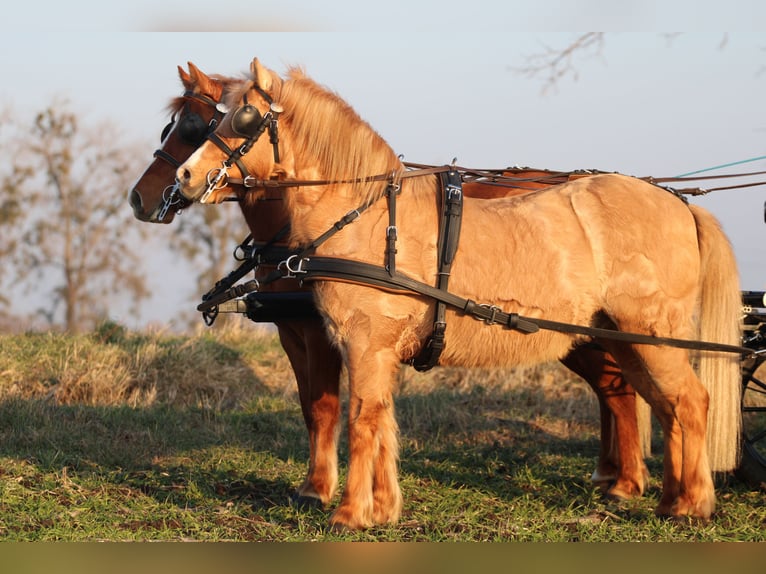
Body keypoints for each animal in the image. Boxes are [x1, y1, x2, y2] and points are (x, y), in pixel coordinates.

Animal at [176, 59, 744, 532]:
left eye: (245, 118)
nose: (184, 176)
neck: (371, 218)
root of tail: (678, 203)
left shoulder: (363, 344)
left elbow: (360, 419)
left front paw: (349, 514)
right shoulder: (377, 352)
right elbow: (382, 421)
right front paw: (383, 509)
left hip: (652, 336)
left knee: (690, 402)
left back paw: (692, 505)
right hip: (627, 341)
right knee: (663, 406)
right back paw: (670, 500)